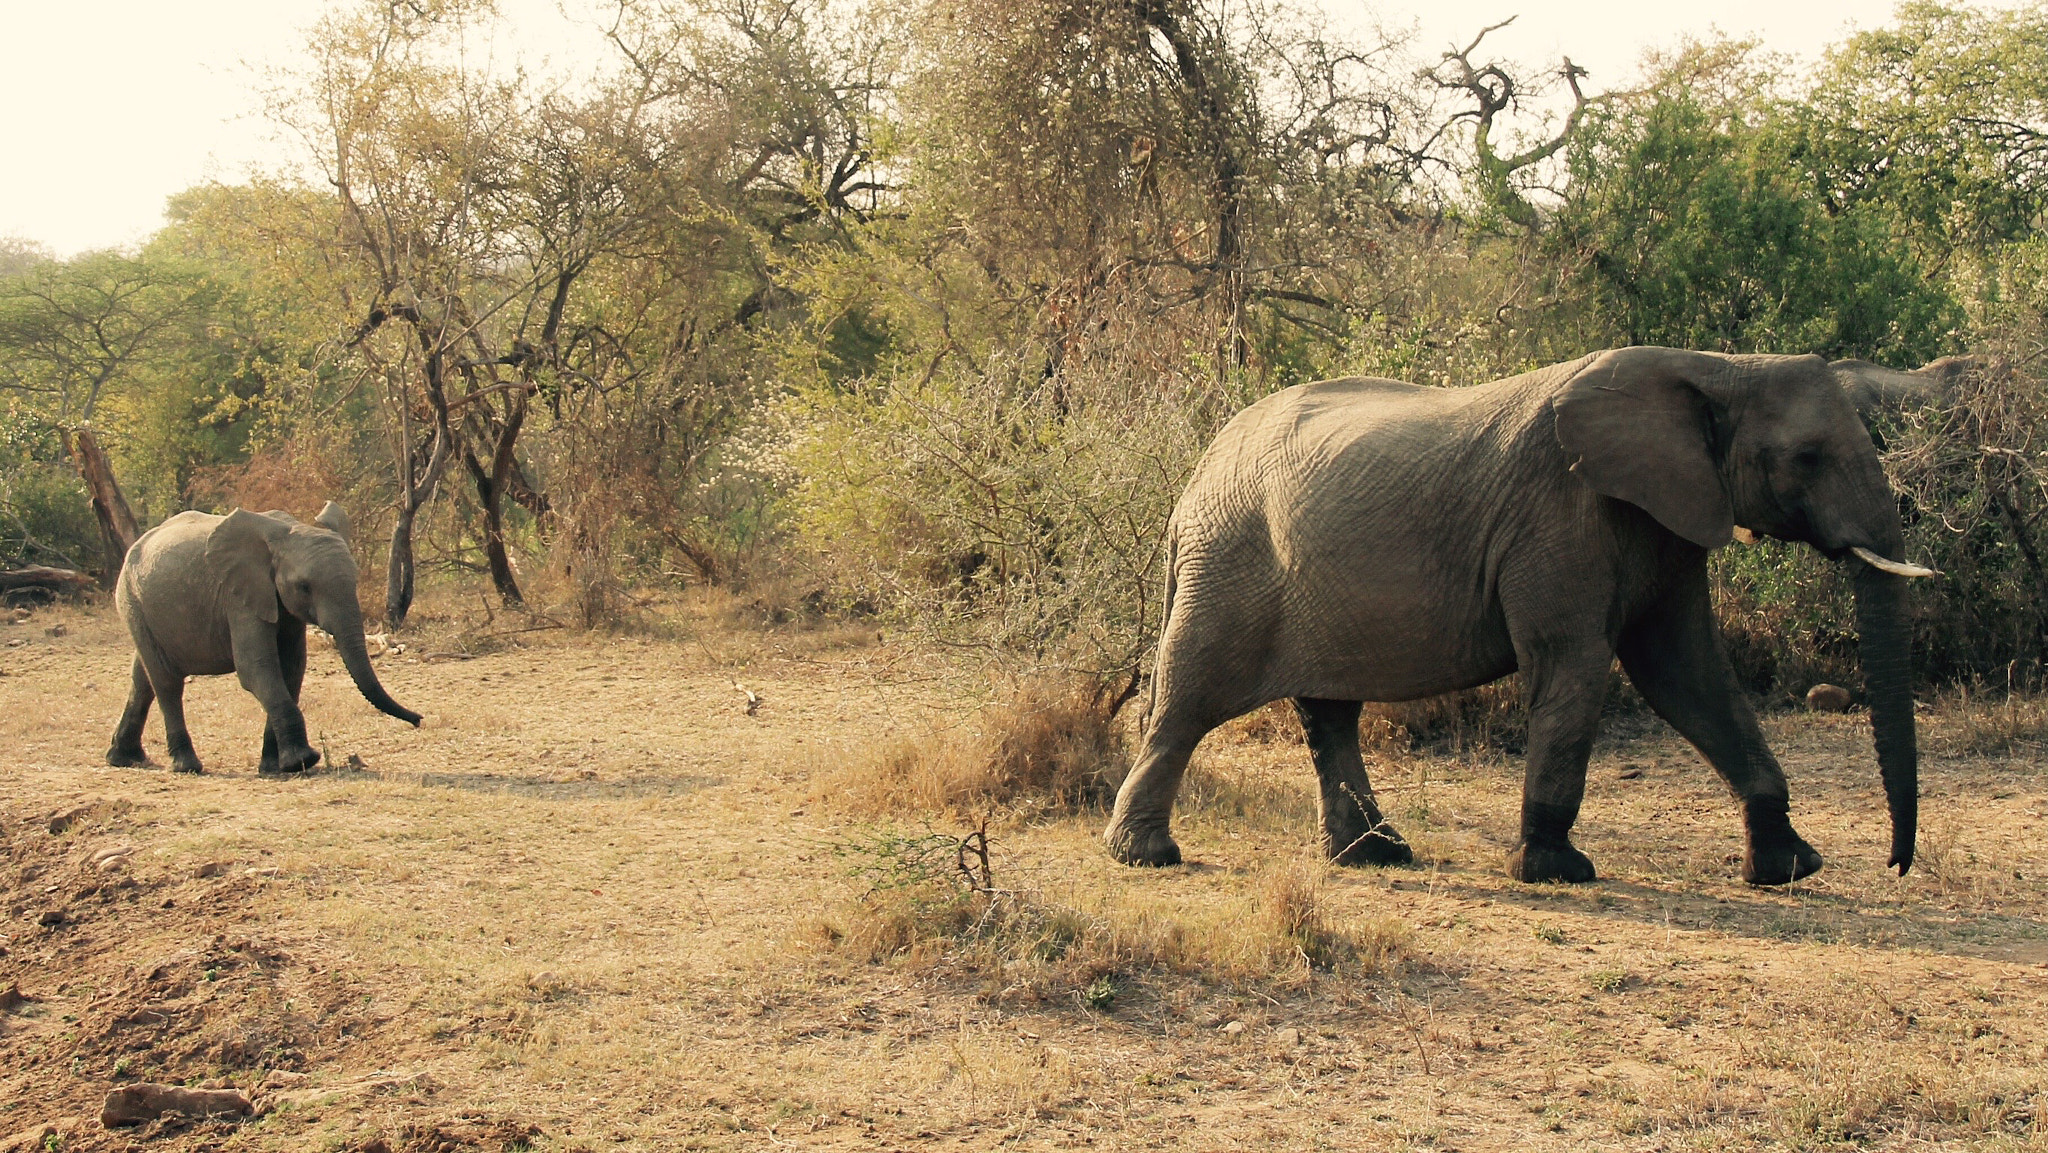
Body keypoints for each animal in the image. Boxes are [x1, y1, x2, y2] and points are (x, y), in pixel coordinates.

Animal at [106, 501, 422, 775]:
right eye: (304, 587)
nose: (419, 720)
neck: (286, 534)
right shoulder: (239, 597)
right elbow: (256, 668)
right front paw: (301, 762)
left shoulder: (284, 607)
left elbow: (292, 669)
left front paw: (275, 767)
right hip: (132, 601)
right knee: (166, 681)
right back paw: (187, 767)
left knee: (143, 678)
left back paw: (124, 759)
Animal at [1103, 347, 1948, 885]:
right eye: (1806, 458)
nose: (1895, 865)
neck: (1720, 366)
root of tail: (1193, 477)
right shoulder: (1560, 516)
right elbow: (1576, 664)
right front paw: (1556, 871)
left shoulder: (1666, 519)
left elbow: (1687, 673)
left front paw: (1790, 868)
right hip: (1230, 560)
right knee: (1188, 701)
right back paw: (1145, 856)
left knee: (1329, 711)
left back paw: (1376, 855)